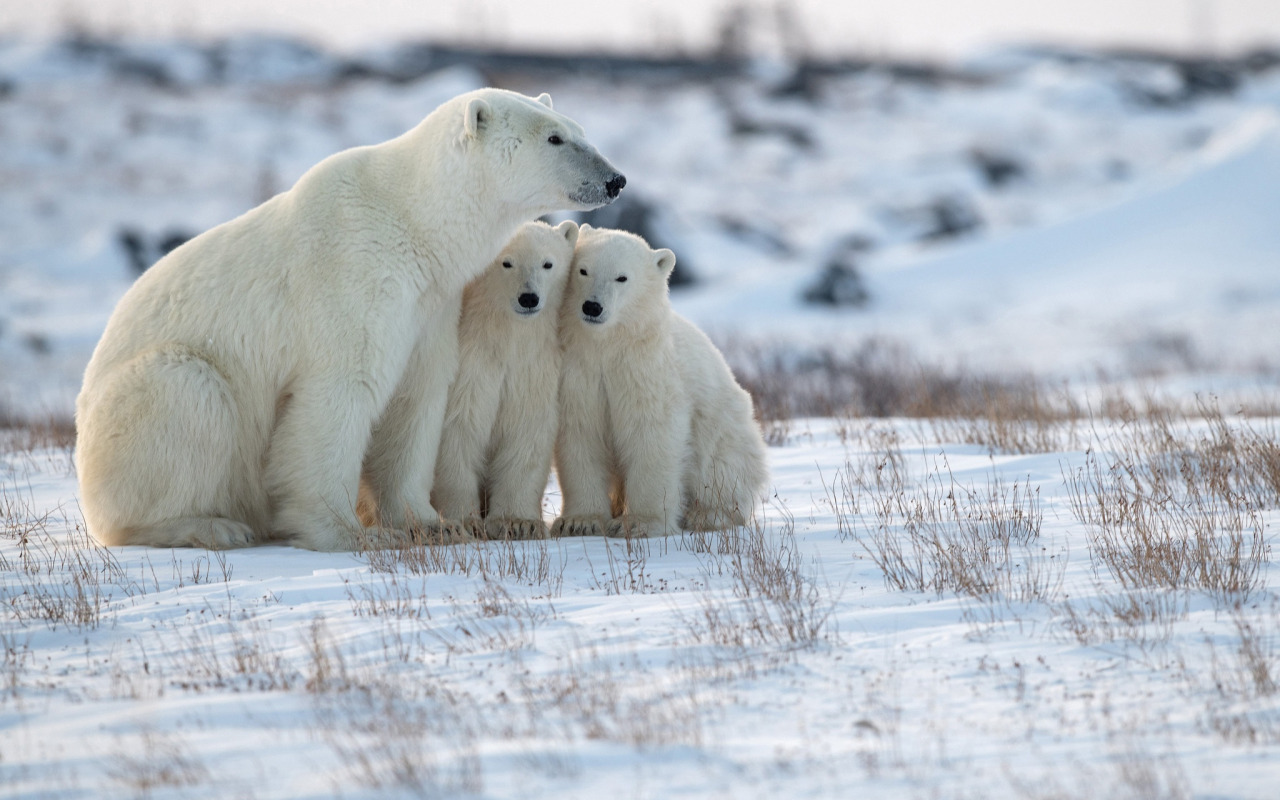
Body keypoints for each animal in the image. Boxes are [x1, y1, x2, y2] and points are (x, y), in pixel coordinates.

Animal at [74, 87, 624, 547]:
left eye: (578, 128)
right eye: (555, 137)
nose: (615, 179)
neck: (413, 221)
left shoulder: (429, 306)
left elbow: (417, 397)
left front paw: (432, 524)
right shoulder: (352, 273)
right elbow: (340, 392)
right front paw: (351, 533)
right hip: (140, 405)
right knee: (189, 394)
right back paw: (211, 525)